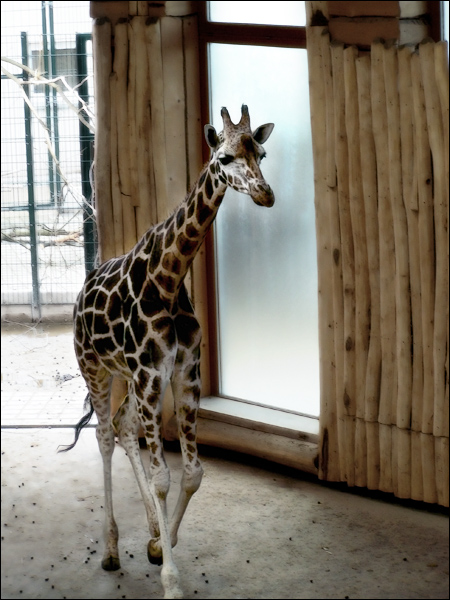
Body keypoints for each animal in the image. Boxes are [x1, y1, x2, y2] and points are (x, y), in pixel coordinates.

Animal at [59, 105, 274, 596]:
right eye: (225, 157)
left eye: (262, 153)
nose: (265, 194)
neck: (170, 276)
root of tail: (79, 296)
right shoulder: (150, 375)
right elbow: (163, 477)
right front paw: (171, 581)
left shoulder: (182, 374)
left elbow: (192, 473)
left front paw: (162, 545)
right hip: (96, 369)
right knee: (104, 435)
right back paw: (110, 549)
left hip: (130, 380)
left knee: (122, 428)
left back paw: (150, 534)